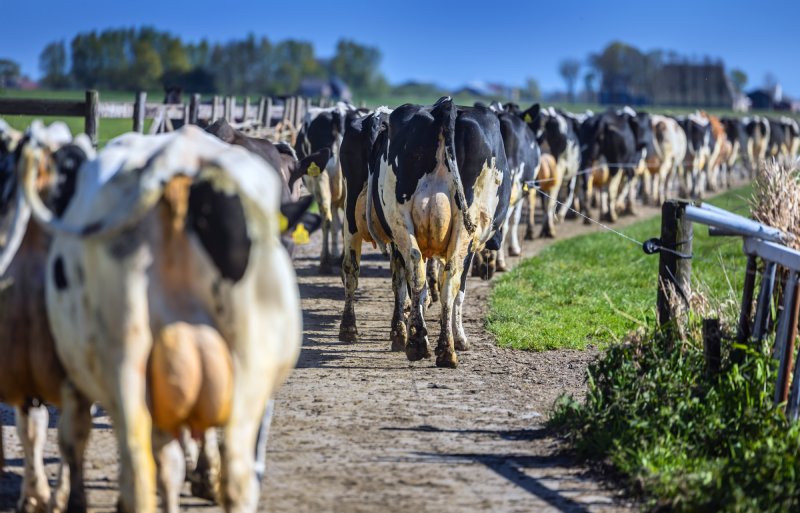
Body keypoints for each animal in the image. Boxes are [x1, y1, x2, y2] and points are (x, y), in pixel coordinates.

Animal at [367, 97, 511, 367]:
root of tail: (445, 106)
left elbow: (415, 288)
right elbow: (457, 291)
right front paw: (460, 338)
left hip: (401, 221)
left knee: (418, 272)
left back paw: (422, 345)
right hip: (465, 227)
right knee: (450, 280)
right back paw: (445, 347)